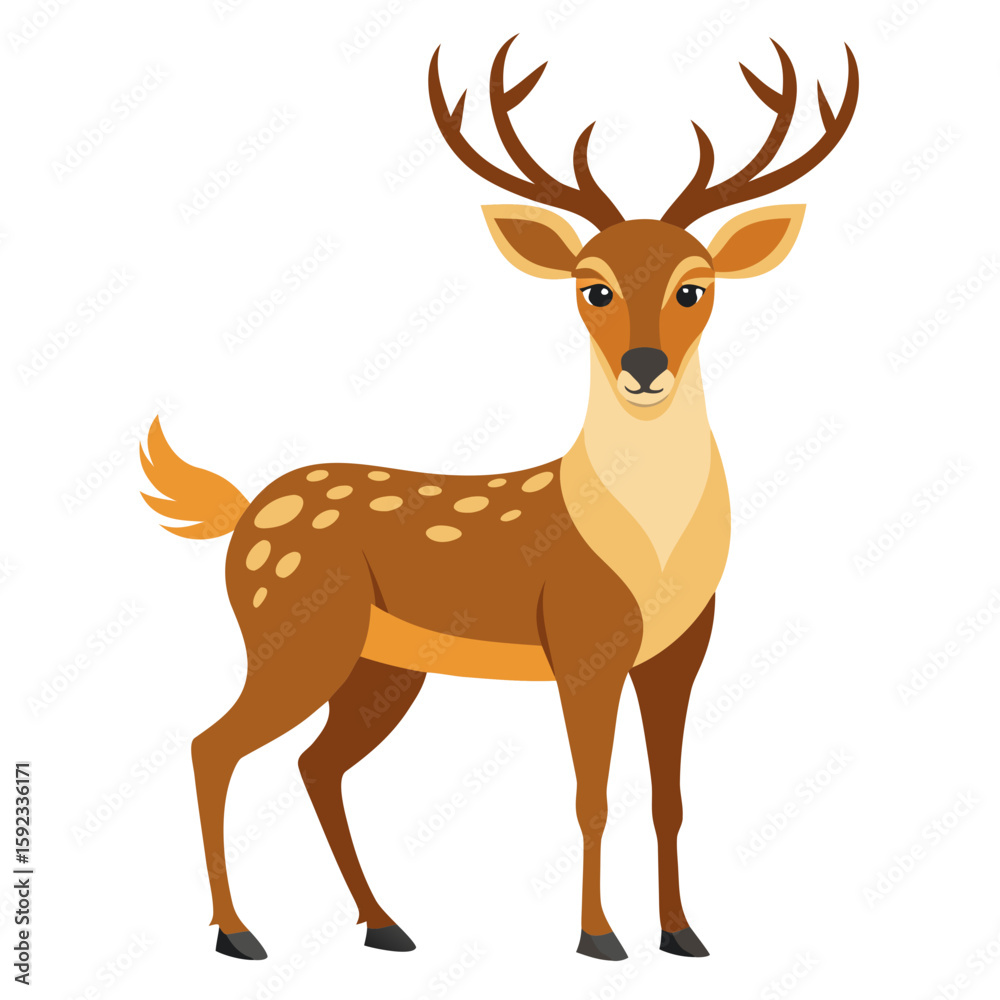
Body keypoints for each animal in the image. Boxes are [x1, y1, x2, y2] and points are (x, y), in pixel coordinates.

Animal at [140, 35, 858, 963]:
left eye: (694, 286)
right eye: (593, 286)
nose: (646, 368)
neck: (652, 551)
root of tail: (242, 514)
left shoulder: (682, 650)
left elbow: (670, 799)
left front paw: (683, 934)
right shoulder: (583, 637)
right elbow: (592, 795)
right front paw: (598, 938)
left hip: (382, 664)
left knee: (314, 764)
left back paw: (384, 925)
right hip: (291, 632)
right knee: (212, 746)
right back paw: (238, 934)